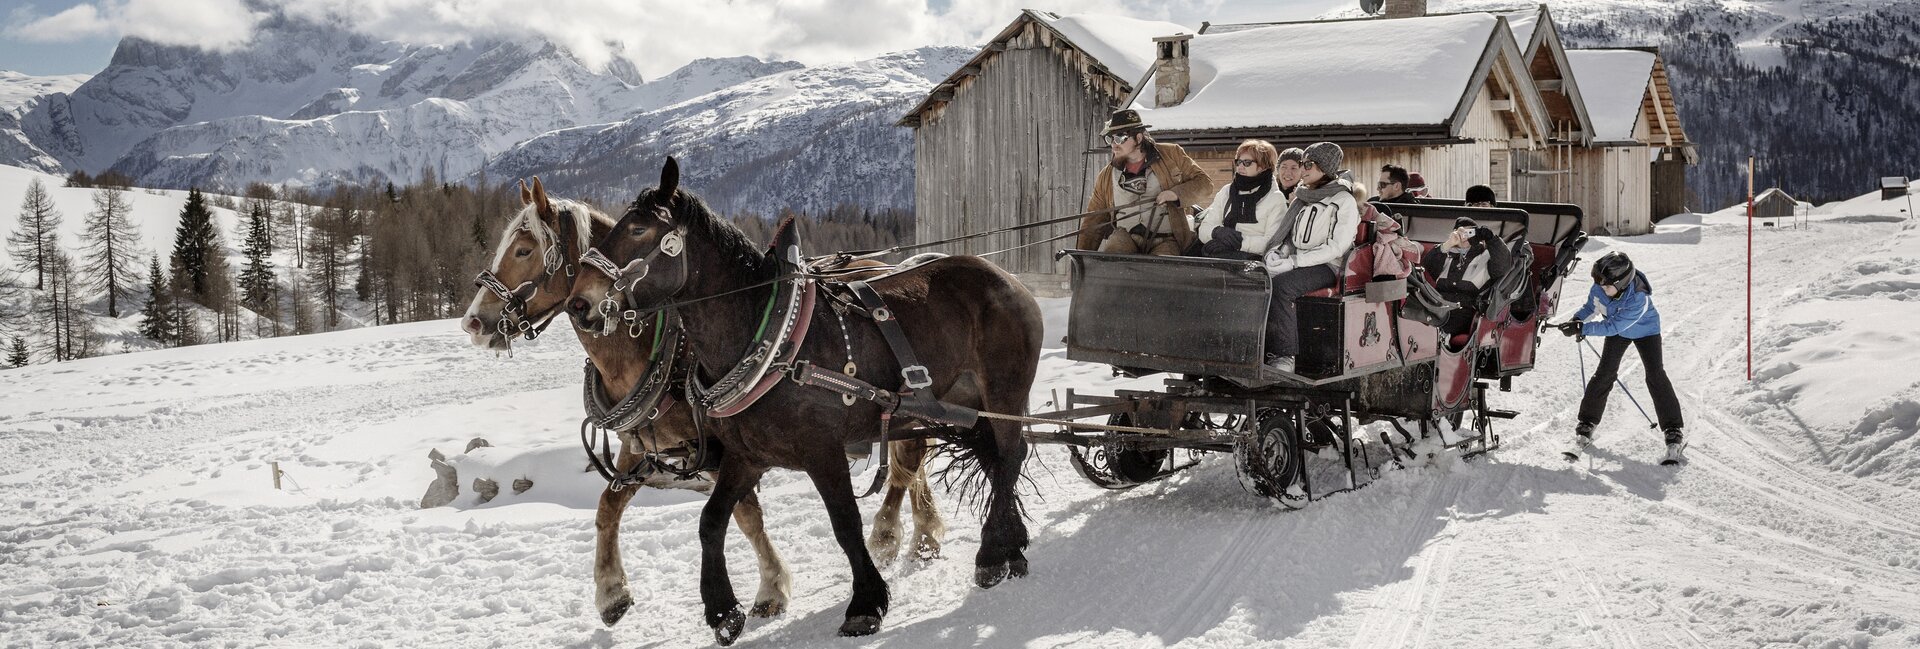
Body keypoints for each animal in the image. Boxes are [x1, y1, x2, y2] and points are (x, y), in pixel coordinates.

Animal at [464, 177, 944, 629]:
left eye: (524, 249)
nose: (473, 321)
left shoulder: (720, 449)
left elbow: (746, 515)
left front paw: (770, 588)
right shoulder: (644, 448)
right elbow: (607, 508)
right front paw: (611, 593)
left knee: (909, 461)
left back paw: (894, 536)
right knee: (913, 460)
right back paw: (922, 536)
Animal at [560, 158, 1044, 645]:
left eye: (638, 228)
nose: (579, 303)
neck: (768, 337)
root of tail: (1006, 277)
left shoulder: (822, 451)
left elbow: (845, 523)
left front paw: (865, 604)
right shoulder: (746, 455)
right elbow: (711, 521)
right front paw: (723, 611)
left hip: (1004, 391)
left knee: (1008, 458)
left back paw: (990, 556)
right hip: (967, 404)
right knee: (996, 460)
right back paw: (1011, 549)